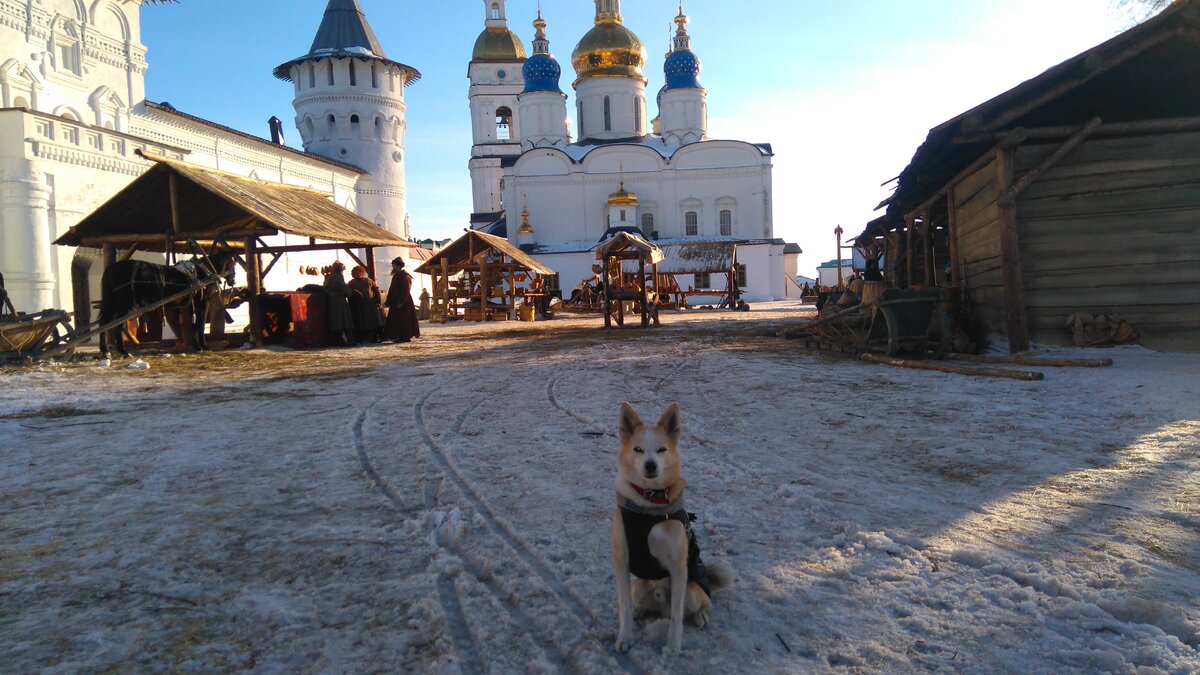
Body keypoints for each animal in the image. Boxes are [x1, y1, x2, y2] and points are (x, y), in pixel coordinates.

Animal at [97, 251, 234, 357]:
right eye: (233, 263)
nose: (233, 281)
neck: (204, 272)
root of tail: (111, 268)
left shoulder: (191, 305)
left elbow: (193, 324)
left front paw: (197, 345)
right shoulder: (201, 303)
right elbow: (200, 324)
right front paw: (203, 346)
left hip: (114, 304)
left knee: (104, 323)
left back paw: (106, 351)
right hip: (124, 305)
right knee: (117, 326)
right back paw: (123, 351)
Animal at [614, 398, 734, 653]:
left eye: (662, 449)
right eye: (638, 449)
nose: (650, 465)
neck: (648, 504)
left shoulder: (678, 568)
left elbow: (677, 616)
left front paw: (673, 647)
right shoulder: (621, 559)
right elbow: (623, 606)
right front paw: (625, 637)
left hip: (692, 590)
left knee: (701, 605)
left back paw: (700, 616)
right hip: (639, 587)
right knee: (641, 603)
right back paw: (640, 610)